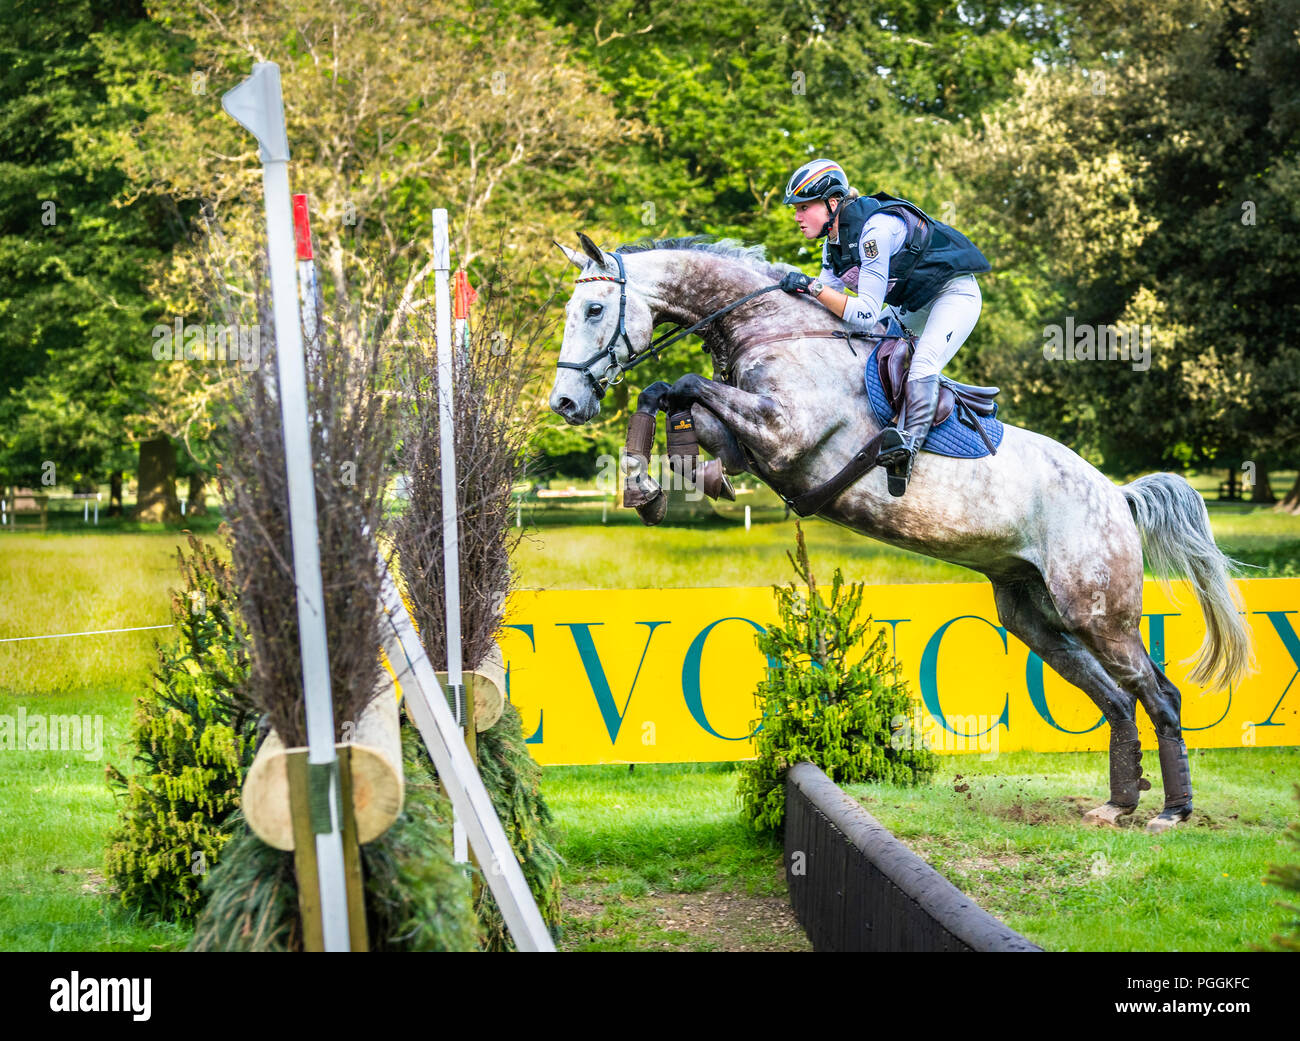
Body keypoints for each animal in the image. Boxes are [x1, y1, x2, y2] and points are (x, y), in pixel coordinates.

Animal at [547, 233, 1254, 834]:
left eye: (593, 307)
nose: (565, 404)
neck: (776, 328)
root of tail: (1117, 496)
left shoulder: (784, 434)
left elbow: (684, 386)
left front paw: (659, 479)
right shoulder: (758, 441)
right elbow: (668, 393)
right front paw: (656, 483)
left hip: (1099, 612)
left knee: (1157, 693)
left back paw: (1173, 812)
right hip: (1036, 614)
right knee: (1115, 698)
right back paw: (1118, 804)